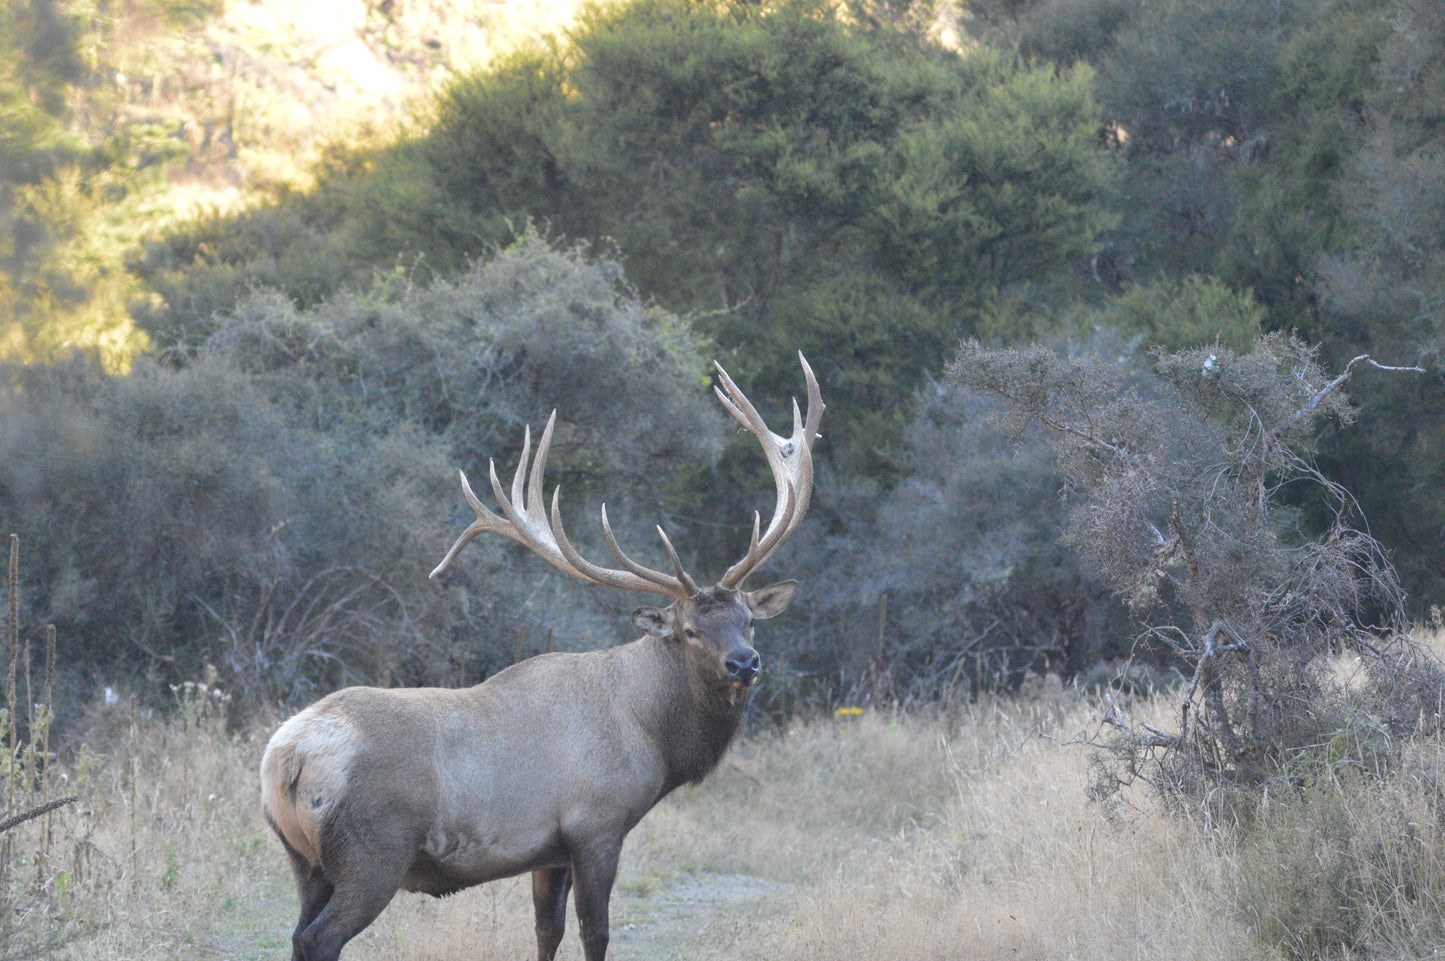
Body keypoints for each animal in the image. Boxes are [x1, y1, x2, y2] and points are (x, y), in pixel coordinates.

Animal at [260, 354, 823, 961]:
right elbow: (595, 932)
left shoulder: (548, 852)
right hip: (372, 852)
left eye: (748, 620)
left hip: (305, 861)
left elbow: (545, 931)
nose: (745, 663)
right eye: (691, 631)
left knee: (297, 933)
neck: (652, 737)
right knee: (319, 938)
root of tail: (285, 759)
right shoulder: (596, 824)